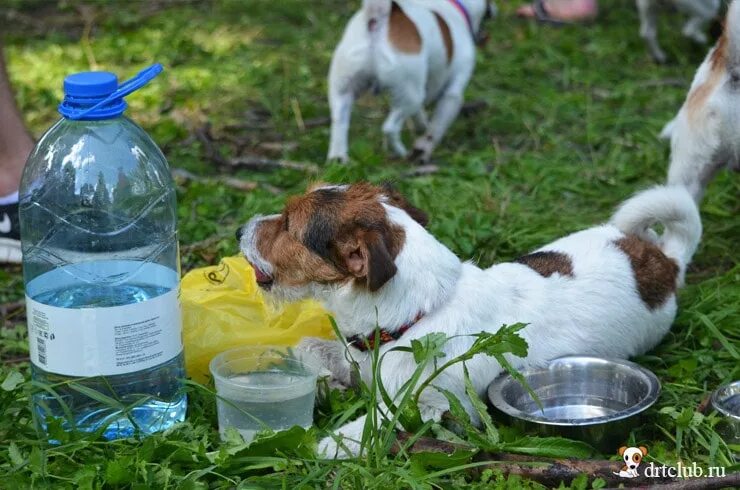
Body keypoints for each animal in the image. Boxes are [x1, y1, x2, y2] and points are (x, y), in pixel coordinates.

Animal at [240, 182, 704, 458]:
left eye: (287, 223)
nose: (239, 230)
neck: (420, 314)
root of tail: (664, 260)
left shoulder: (428, 407)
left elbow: (367, 428)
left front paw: (318, 447)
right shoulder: (357, 356)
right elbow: (309, 349)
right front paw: (315, 380)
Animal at [328, 0, 492, 165]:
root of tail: (380, 16)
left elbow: (420, 115)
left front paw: (422, 125)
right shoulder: (452, 95)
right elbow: (435, 129)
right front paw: (424, 146)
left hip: (343, 90)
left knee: (340, 123)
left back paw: (338, 158)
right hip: (411, 96)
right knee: (390, 128)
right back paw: (401, 152)